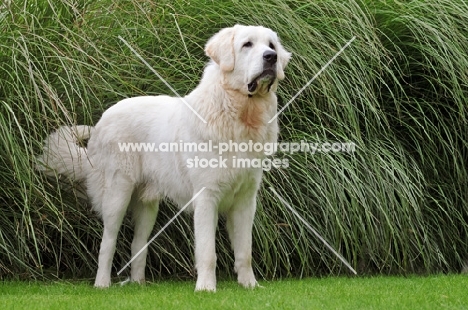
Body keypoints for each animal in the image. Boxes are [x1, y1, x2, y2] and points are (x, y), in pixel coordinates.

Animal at [39, 24, 288, 290]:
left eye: (271, 45)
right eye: (247, 44)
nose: (271, 58)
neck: (241, 113)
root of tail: (101, 122)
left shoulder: (245, 201)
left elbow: (245, 251)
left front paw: (250, 286)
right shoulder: (206, 197)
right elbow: (207, 252)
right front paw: (206, 288)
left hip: (148, 206)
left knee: (138, 245)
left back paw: (139, 284)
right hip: (117, 195)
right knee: (107, 243)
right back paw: (102, 284)